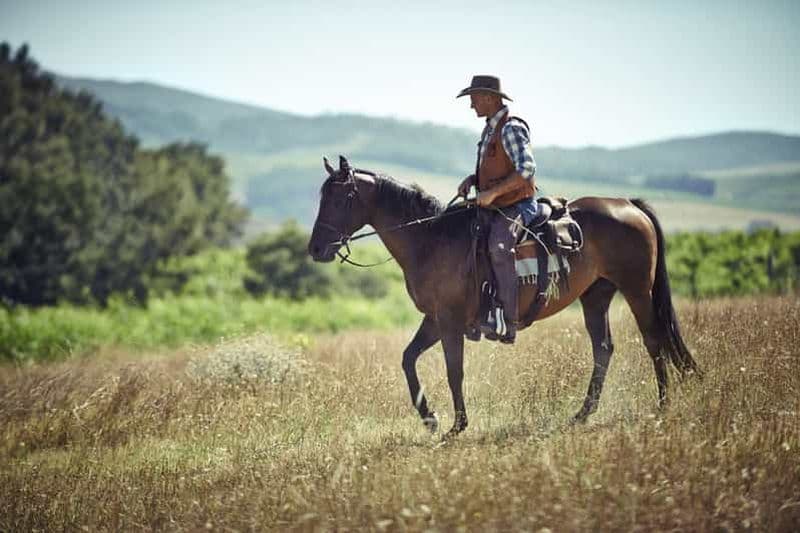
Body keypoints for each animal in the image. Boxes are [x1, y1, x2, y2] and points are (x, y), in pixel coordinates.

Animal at [308, 156, 700, 437]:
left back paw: (662, 405)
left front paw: (456, 426)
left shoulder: (449, 321)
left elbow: (454, 371)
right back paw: (582, 414)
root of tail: (628, 204)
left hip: (636, 290)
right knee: (603, 349)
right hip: (596, 296)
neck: (431, 239)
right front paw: (430, 418)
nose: (315, 249)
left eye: (340, 198)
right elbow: (408, 359)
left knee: (653, 340)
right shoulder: (435, 319)